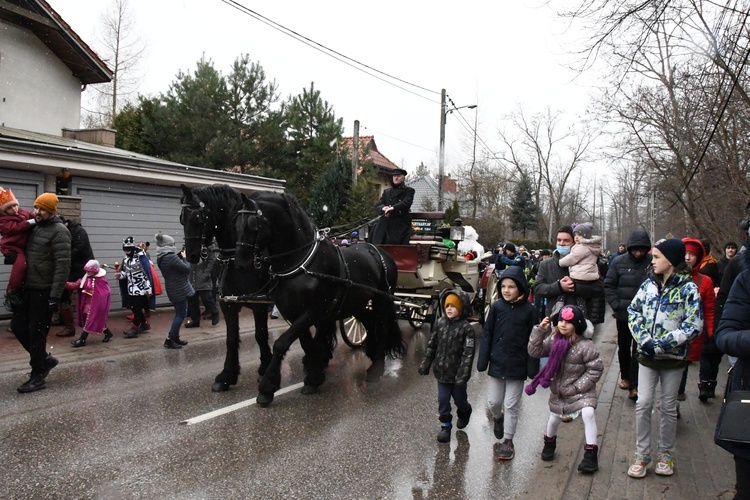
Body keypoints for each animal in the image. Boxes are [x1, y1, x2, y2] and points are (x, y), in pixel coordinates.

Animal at [181, 184, 274, 394]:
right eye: (182, 218)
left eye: (197, 217)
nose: (191, 255)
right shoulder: (228, 304)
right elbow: (231, 339)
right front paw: (226, 375)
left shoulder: (260, 304)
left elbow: (260, 335)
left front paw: (265, 368)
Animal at [235, 191, 408, 406]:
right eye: (236, 224)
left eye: (251, 223)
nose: (240, 264)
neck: (301, 262)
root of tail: (380, 252)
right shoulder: (291, 312)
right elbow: (307, 344)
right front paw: (314, 376)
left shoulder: (313, 311)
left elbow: (281, 343)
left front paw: (267, 387)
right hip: (357, 304)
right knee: (369, 323)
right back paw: (371, 353)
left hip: (381, 300)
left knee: (382, 327)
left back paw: (376, 368)